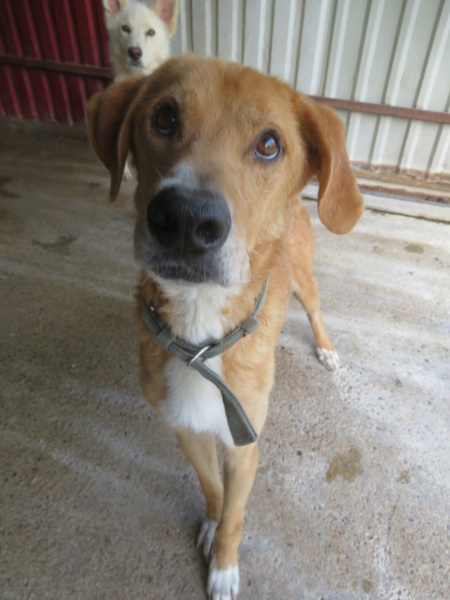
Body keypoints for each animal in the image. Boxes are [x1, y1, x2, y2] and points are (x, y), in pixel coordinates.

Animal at [86, 55, 364, 596]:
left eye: (269, 144)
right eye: (165, 117)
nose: (185, 220)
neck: (201, 339)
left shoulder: (245, 444)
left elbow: (236, 516)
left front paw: (224, 568)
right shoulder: (187, 428)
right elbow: (212, 489)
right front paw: (211, 529)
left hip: (304, 281)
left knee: (316, 310)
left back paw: (325, 348)